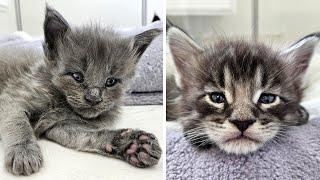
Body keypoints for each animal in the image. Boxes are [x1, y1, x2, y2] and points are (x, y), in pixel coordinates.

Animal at [0, 7, 161, 176]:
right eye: (77, 76)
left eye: (111, 81)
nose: (94, 98)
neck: (62, 104)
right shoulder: (13, 97)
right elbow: (19, 123)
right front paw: (23, 151)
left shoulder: (60, 126)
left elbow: (87, 136)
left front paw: (134, 145)